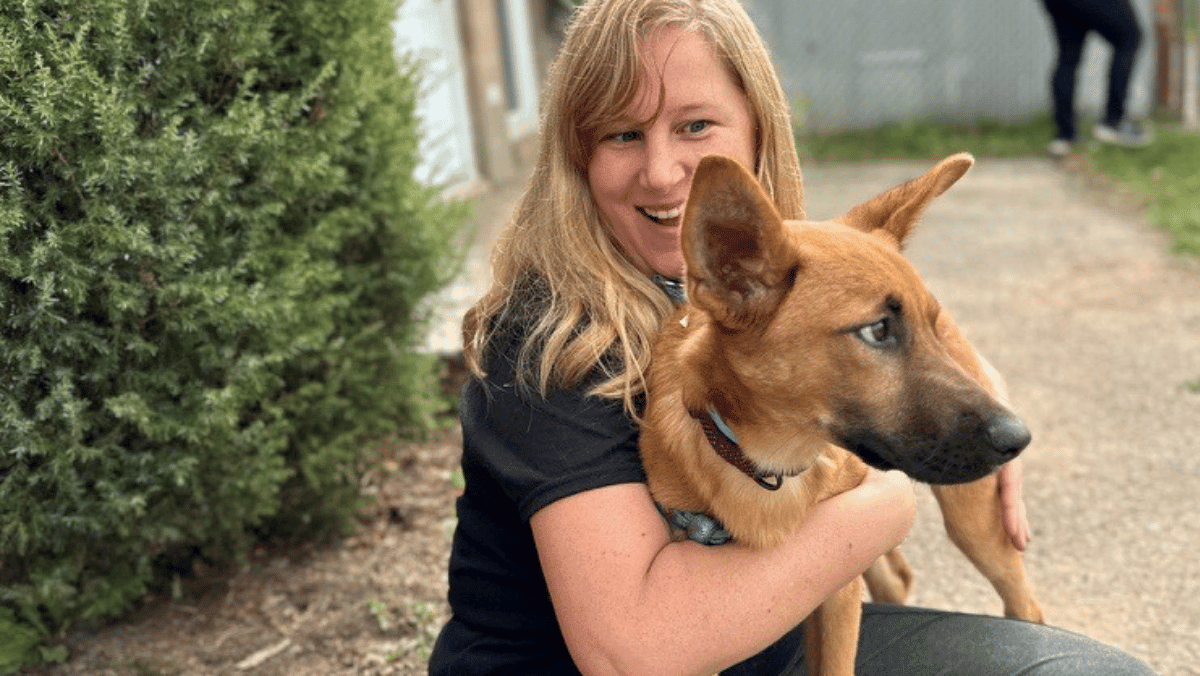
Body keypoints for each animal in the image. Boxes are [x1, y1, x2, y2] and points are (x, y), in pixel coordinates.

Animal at [643, 153, 1046, 676]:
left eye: (931, 325)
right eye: (877, 330)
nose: (1019, 438)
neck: (770, 466)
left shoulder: (837, 582)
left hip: (972, 521)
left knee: (1022, 602)